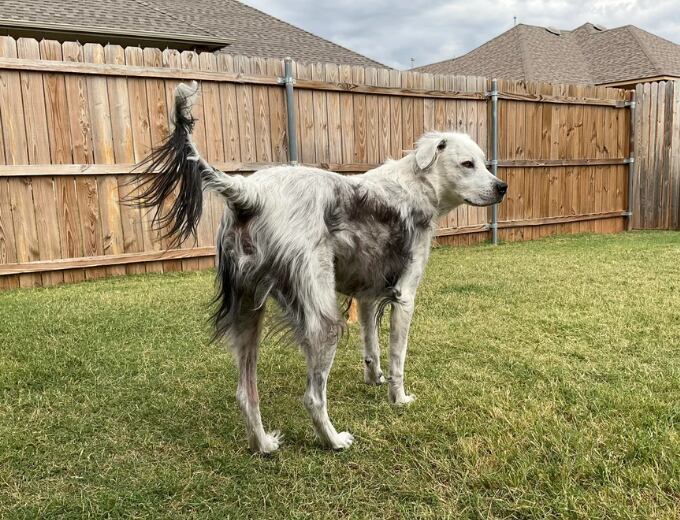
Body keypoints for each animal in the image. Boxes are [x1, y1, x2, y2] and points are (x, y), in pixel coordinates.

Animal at [134, 81, 504, 450]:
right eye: (468, 164)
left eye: (484, 163)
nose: (503, 187)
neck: (416, 184)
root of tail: (250, 192)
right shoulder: (405, 297)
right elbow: (397, 359)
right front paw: (398, 398)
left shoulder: (366, 297)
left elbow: (372, 348)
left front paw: (374, 379)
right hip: (324, 322)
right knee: (312, 397)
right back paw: (333, 440)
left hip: (247, 315)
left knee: (245, 393)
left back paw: (264, 445)